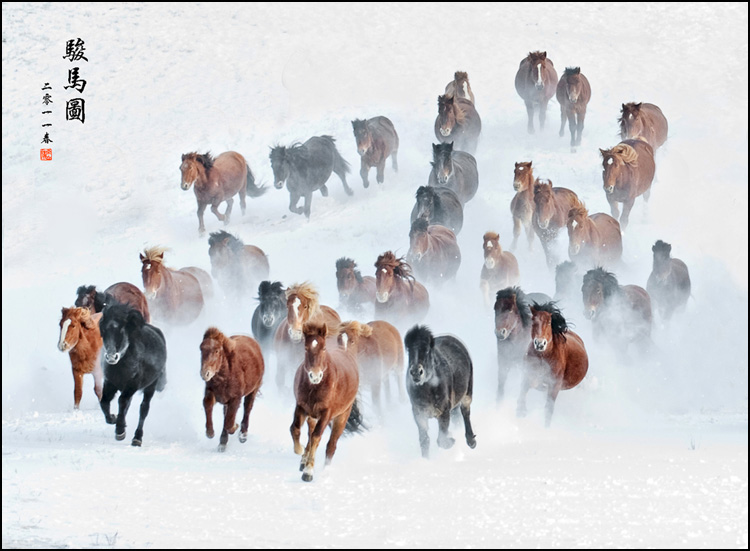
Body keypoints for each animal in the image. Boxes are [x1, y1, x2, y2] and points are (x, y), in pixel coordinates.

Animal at [99, 304, 167, 446]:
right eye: (104, 329)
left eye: (121, 330)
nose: (111, 357)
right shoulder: (110, 383)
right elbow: (104, 402)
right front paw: (113, 419)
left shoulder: (132, 384)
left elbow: (122, 401)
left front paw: (120, 431)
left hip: (150, 386)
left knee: (144, 409)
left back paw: (137, 438)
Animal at [290, 322, 364, 482]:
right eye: (306, 348)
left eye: (324, 348)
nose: (315, 376)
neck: (316, 387)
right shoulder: (301, 407)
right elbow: (295, 429)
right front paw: (299, 451)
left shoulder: (326, 414)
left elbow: (317, 437)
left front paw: (308, 472)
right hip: (312, 416)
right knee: (309, 433)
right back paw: (304, 459)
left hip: (342, 416)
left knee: (331, 444)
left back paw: (325, 471)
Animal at [404, 325, 476, 458]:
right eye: (409, 350)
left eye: (427, 350)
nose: (416, 372)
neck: (427, 390)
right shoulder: (419, 415)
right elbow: (424, 440)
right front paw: (425, 460)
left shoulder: (443, 412)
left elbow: (441, 439)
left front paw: (451, 440)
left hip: (467, 394)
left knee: (465, 413)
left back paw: (471, 441)